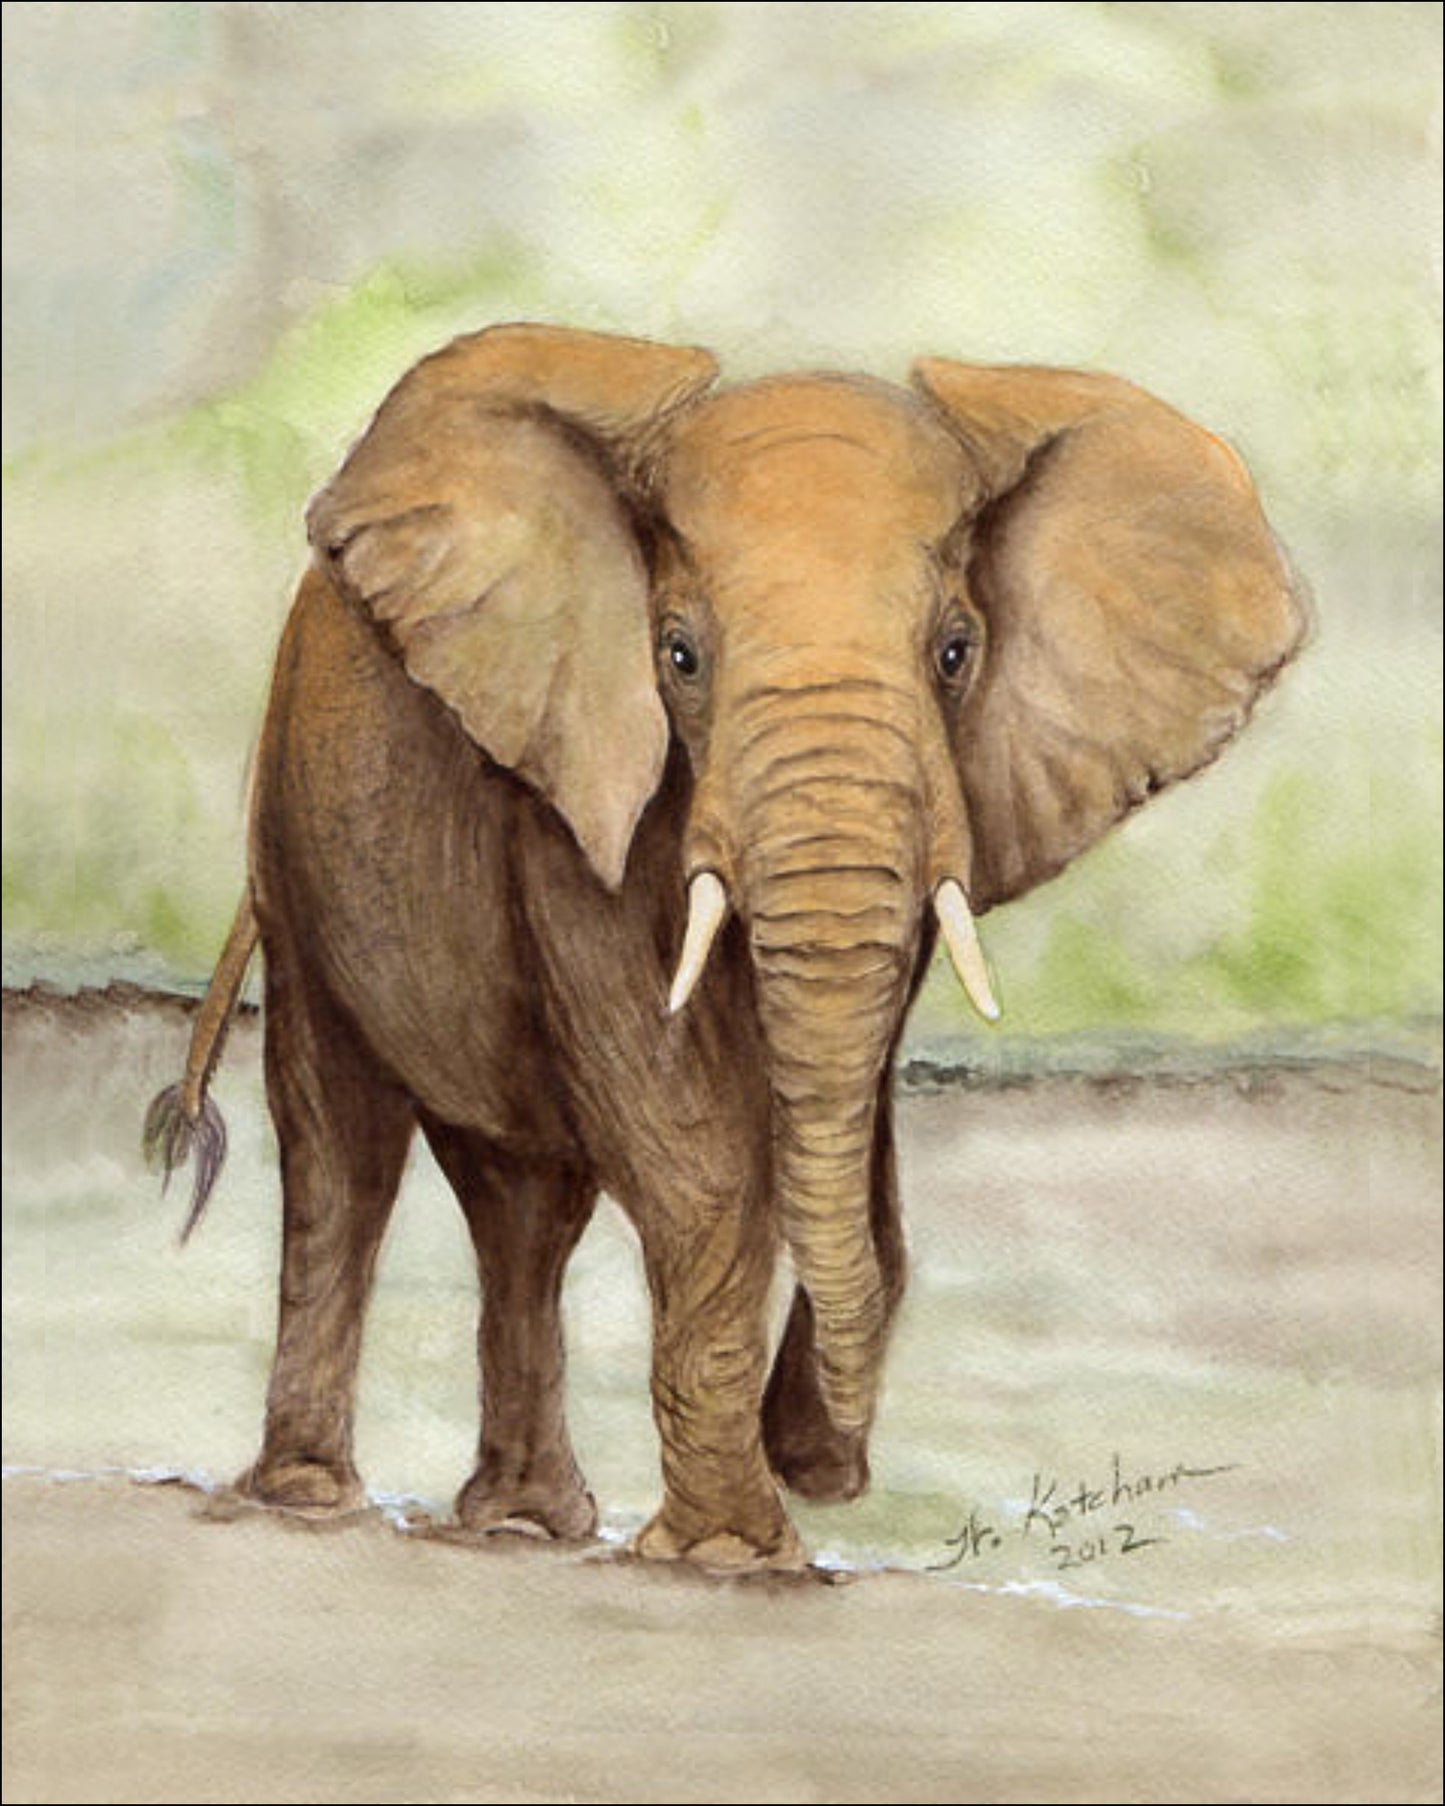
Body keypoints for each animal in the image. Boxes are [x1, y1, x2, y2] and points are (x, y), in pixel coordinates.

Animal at [145, 323, 1304, 1572]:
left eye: (956, 653)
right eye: (678, 656)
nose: (824, 1469)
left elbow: (839, 1118)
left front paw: (773, 1492)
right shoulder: (575, 787)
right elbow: (686, 1143)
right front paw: (732, 1556)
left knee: (521, 1201)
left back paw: (523, 1521)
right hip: (297, 845)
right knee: (340, 1147)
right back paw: (312, 1498)